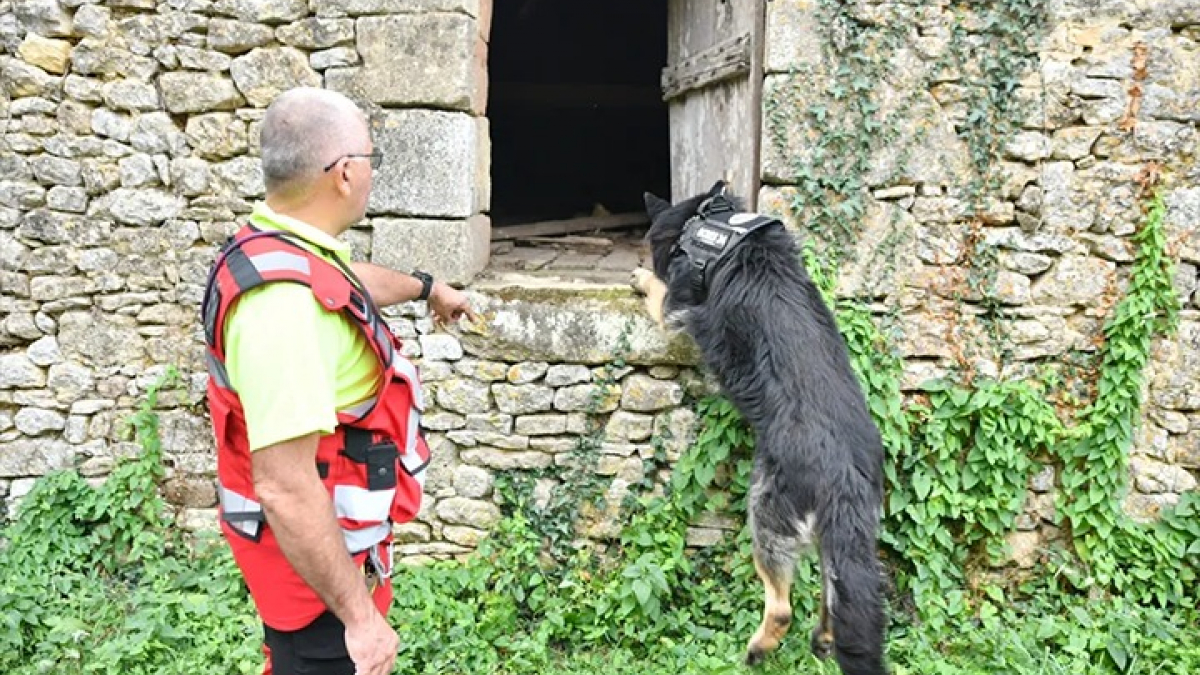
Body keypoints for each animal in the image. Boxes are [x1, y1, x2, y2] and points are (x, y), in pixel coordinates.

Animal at [633, 180, 888, 672]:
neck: (711, 222)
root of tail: (844, 473)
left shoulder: (676, 309)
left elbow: (660, 291)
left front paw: (640, 276)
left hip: (766, 511)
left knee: (783, 605)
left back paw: (758, 648)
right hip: (841, 536)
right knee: (835, 591)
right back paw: (823, 638)